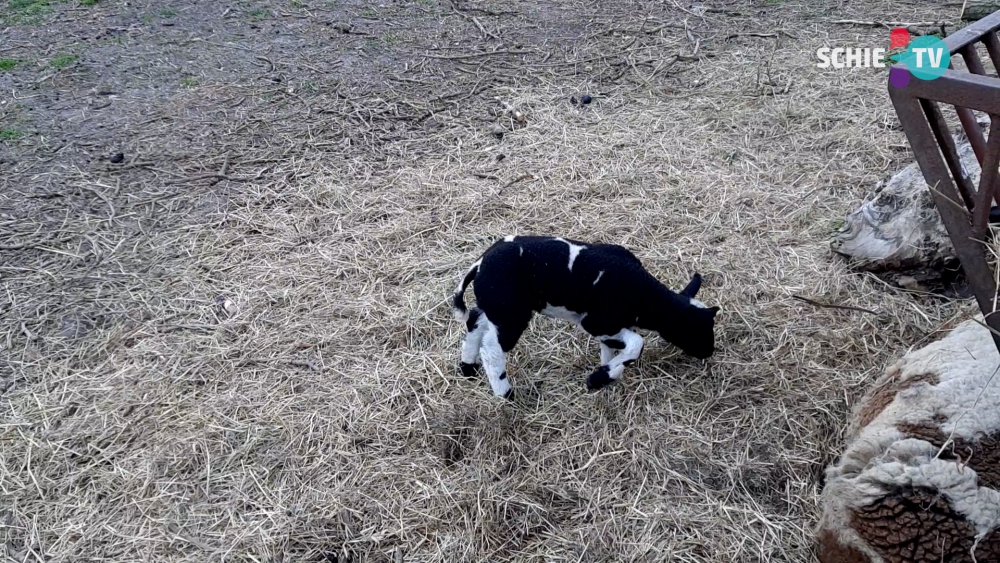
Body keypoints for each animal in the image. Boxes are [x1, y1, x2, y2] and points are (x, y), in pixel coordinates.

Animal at [452, 234, 720, 396]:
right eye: (698, 329)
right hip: (511, 313)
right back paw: (505, 394)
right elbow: (636, 343)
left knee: (474, 322)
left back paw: (467, 368)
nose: (709, 352)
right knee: (492, 350)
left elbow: (611, 350)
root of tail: (479, 264)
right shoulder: (597, 322)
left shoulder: (608, 327)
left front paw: (607, 374)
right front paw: (598, 379)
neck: (644, 297)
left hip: (497, 308)